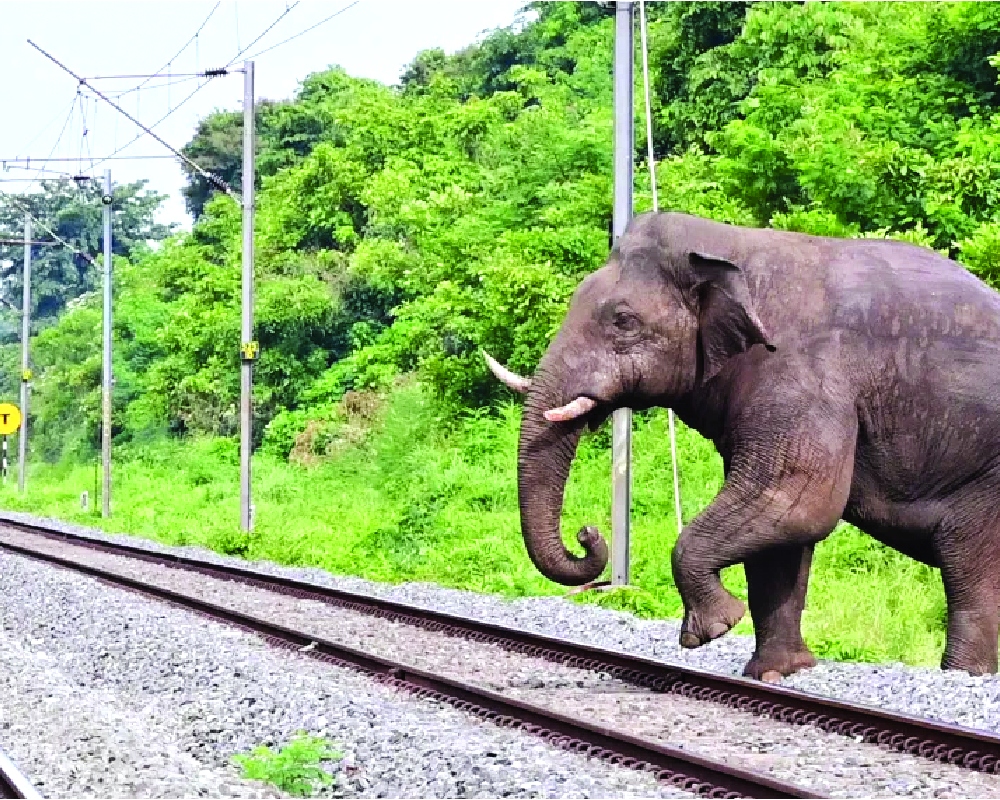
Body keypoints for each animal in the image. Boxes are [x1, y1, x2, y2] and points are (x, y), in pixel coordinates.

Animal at [484, 210, 1000, 682]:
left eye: (623, 321)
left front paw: (713, 629)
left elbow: (796, 501)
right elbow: (782, 535)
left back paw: (963, 676)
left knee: (968, 569)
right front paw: (776, 674)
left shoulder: (802, 377)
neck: (729, 246)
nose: (588, 534)